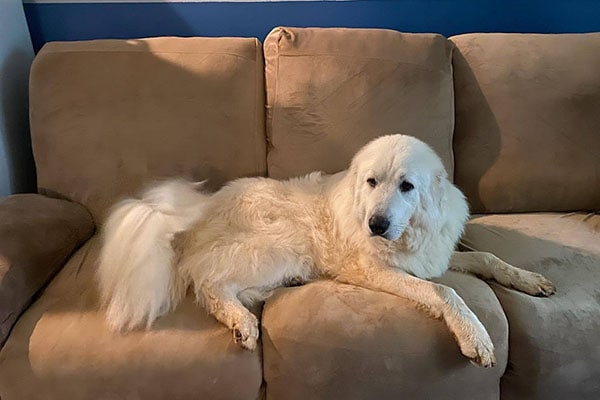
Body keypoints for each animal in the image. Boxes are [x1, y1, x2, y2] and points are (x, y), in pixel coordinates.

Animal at [97, 134, 552, 366]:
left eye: (407, 186)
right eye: (372, 182)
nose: (376, 225)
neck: (408, 233)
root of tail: (194, 216)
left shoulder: (432, 257)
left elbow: (486, 258)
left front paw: (530, 280)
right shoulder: (378, 272)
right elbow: (445, 292)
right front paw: (476, 337)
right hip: (275, 247)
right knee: (210, 285)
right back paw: (242, 323)